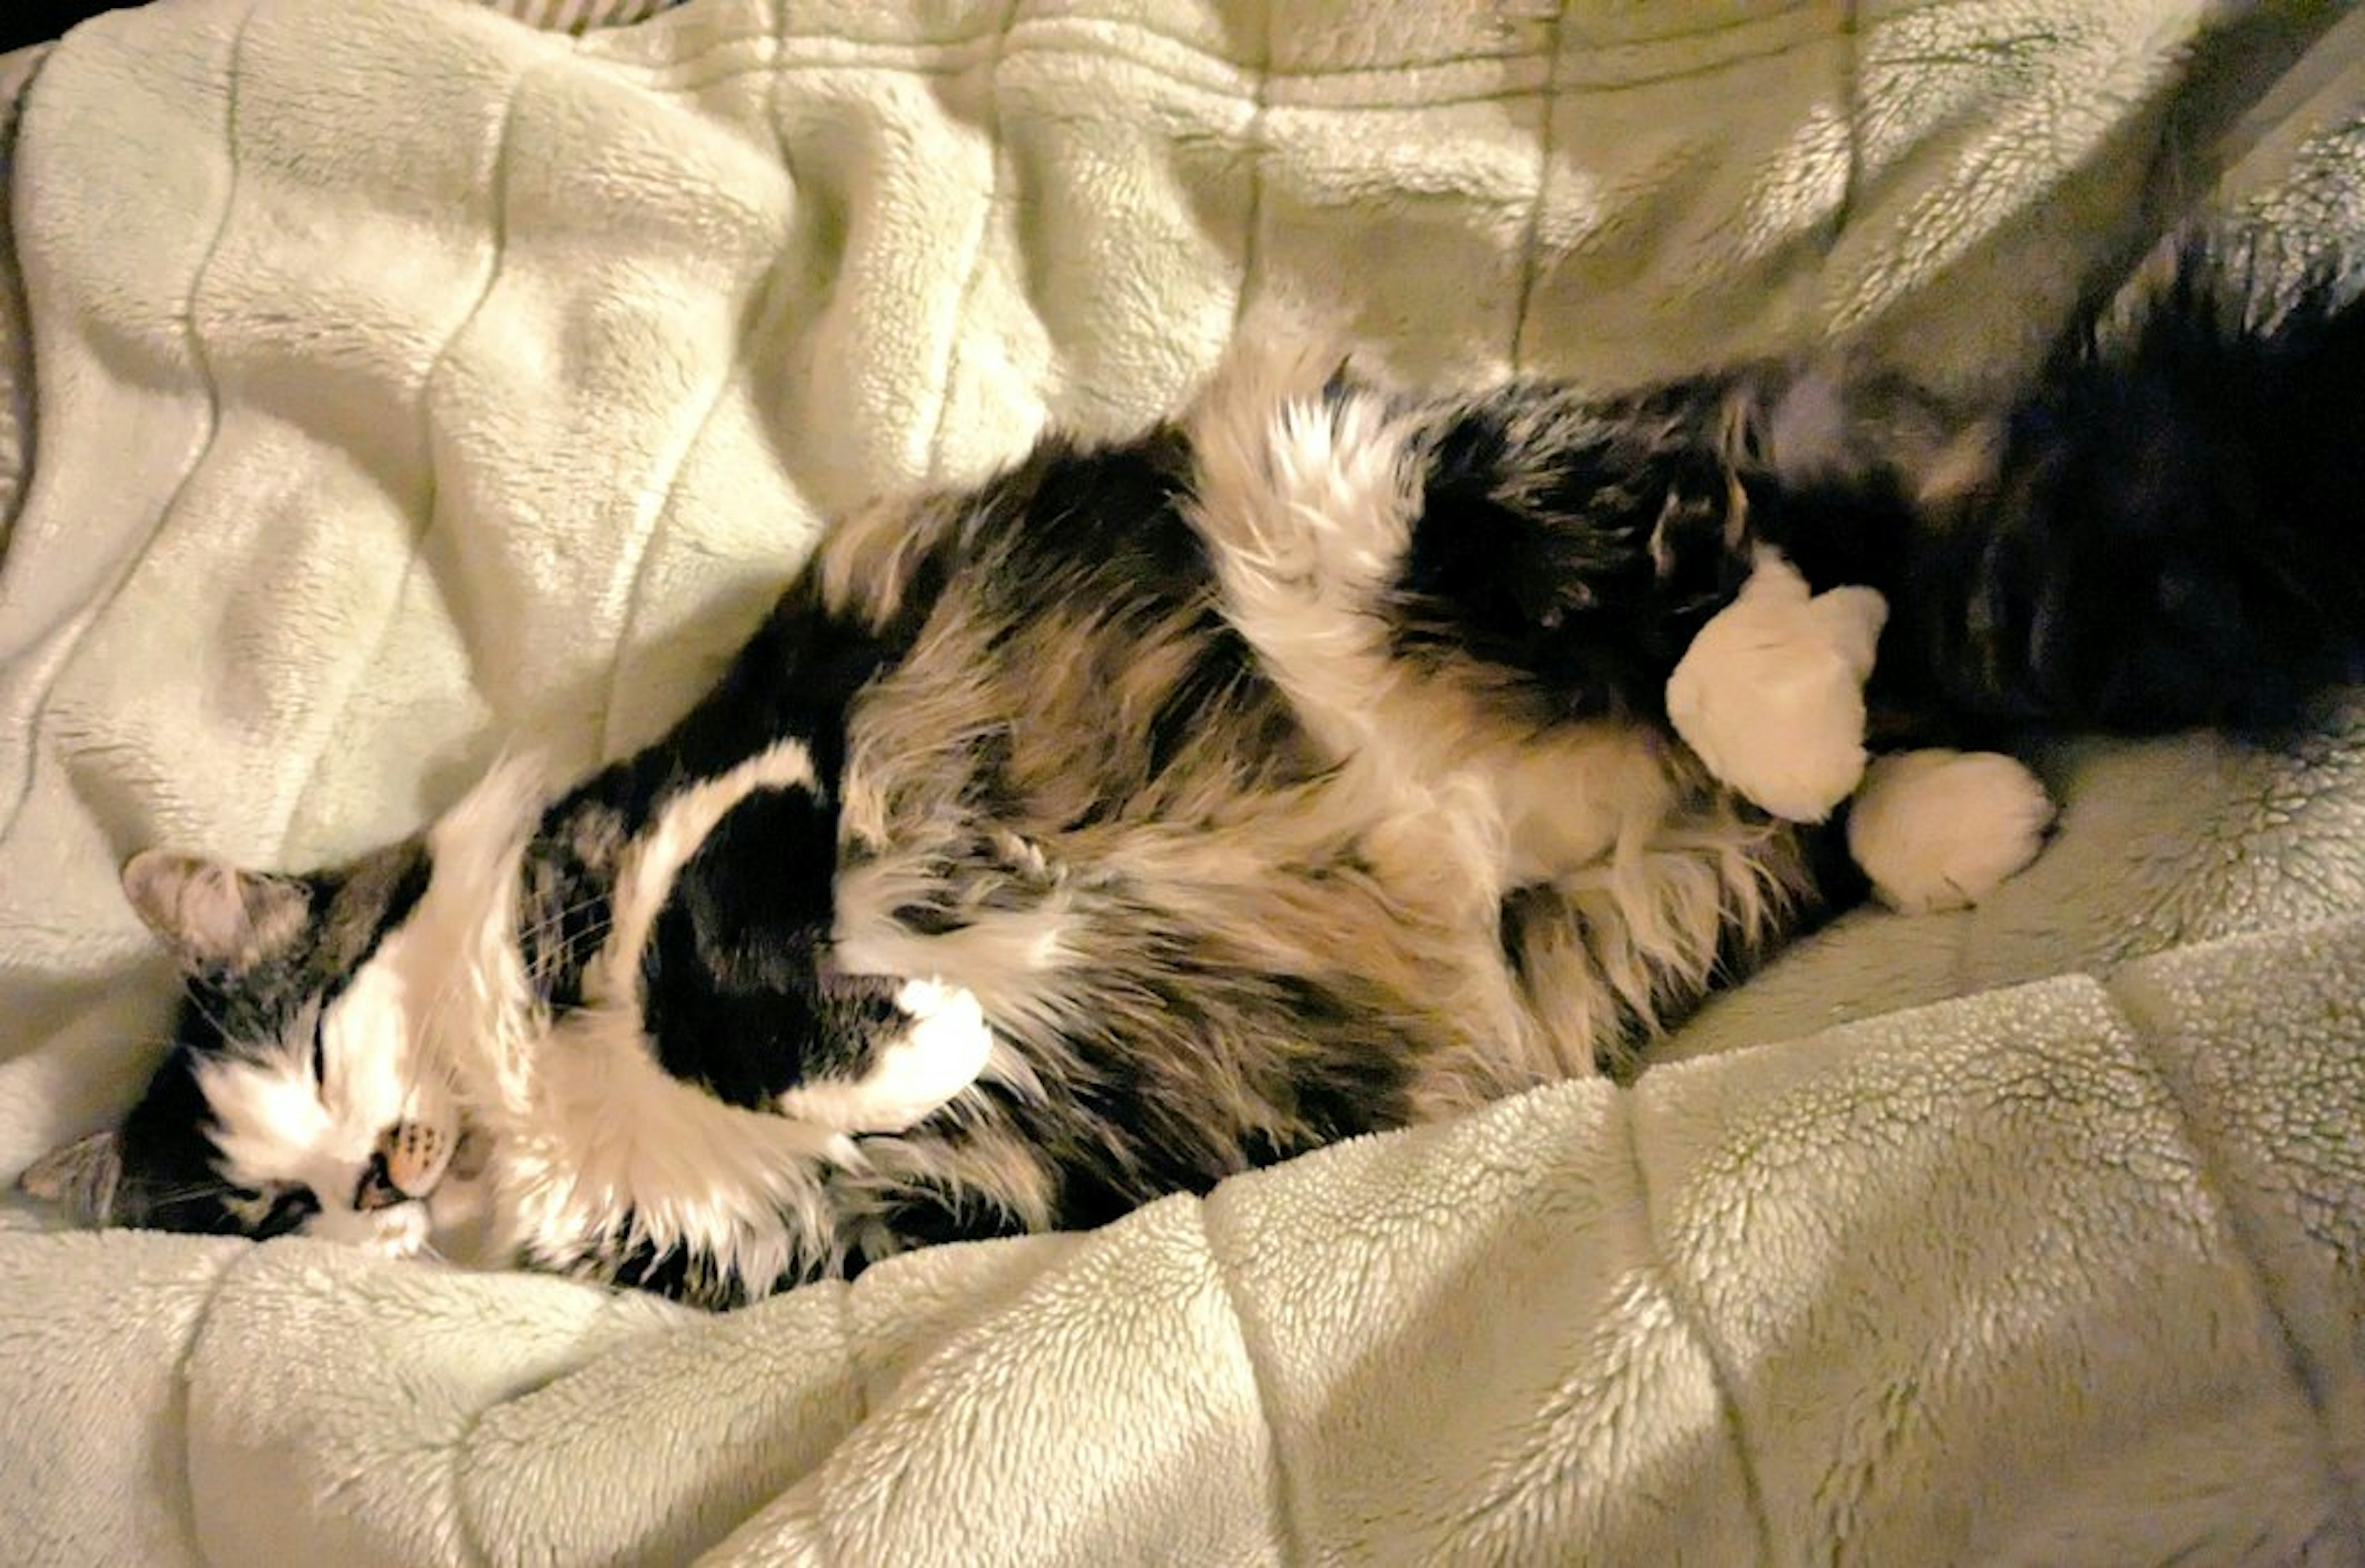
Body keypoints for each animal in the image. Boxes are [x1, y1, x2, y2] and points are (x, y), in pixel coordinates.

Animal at [23, 246, 2365, 1315]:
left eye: (306, 1063)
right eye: (261, 1210)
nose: (368, 1191)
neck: (522, 1104)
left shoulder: (741, 779)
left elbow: (721, 965)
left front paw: (911, 1007)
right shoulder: (845, 1228)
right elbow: (830, 1124)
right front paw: (912, 1037)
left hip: (1324, 475)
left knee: (1716, 563)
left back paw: (1773, 682)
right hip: (1596, 912)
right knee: (1841, 731)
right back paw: (1948, 808)